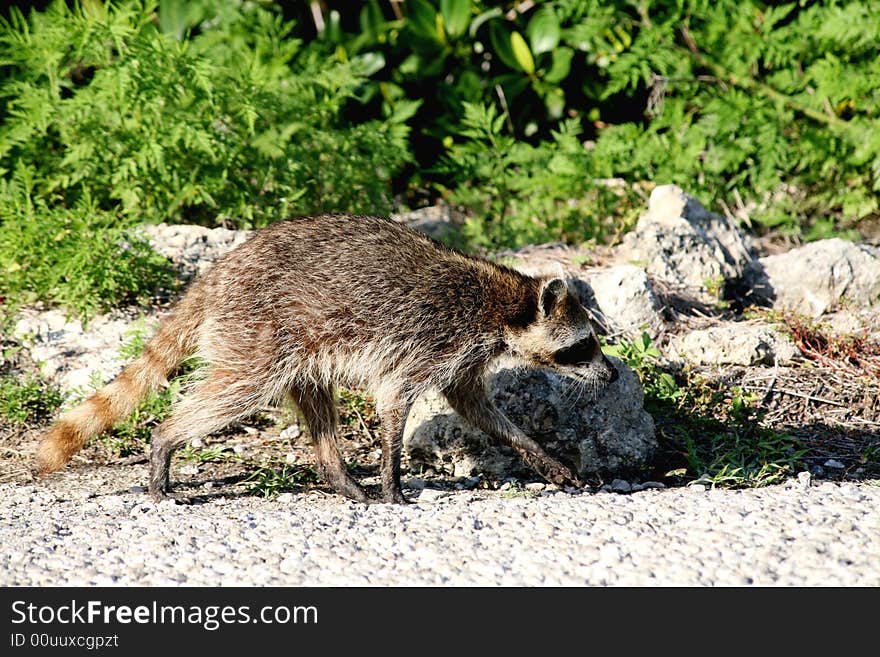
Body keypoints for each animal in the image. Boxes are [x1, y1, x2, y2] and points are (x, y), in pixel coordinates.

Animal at [37, 215, 620, 502]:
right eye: (583, 345)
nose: (612, 372)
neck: (502, 303)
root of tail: (216, 273)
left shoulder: (462, 358)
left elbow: (476, 408)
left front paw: (540, 455)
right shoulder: (432, 339)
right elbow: (395, 401)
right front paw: (392, 475)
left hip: (300, 346)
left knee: (317, 406)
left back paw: (337, 474)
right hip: (255, 331)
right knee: (234, 391)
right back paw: (165, 441)